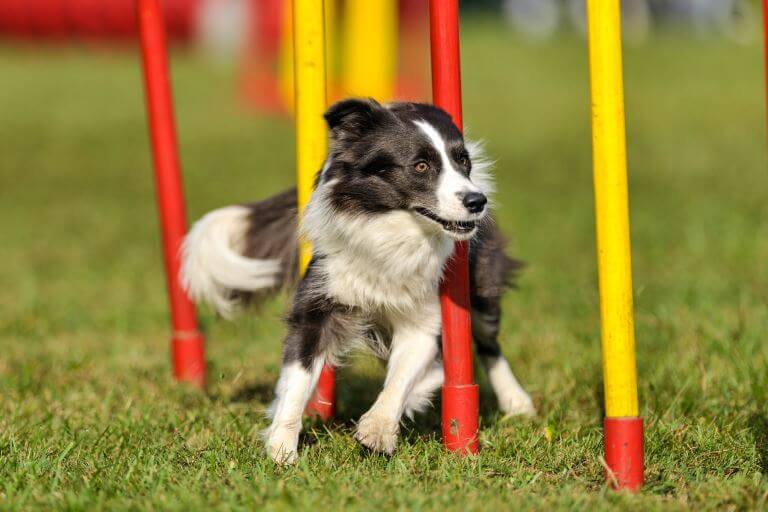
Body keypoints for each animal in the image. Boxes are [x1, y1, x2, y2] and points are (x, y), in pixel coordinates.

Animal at [183, 98, 536, 462]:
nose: (477, 201)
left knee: (488, 342)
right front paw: (281, 448)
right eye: (421, 166)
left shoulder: (426, 314)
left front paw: (377, 430)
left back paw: (516, 401)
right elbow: (297, 378)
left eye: (462, 161)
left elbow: (401, 378)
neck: (390, 229)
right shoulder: (320, 299)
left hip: (480, 284)